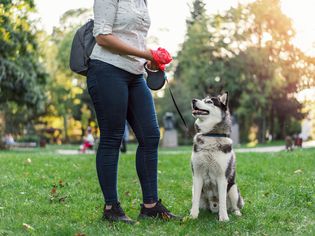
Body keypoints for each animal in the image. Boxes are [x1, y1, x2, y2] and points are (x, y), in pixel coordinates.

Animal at [190, 92, 244, 221]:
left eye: (209, 101)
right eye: (202, 99)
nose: (193, 100)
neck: (210, 135)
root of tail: (213, 206)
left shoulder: (222, 178)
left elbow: (223, 200)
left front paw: (223, 218)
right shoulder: (197, 175)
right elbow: (195, 201)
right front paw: (192, 216)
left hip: (233, 188)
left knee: (234, 206)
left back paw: (237, 213)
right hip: (193, 189)